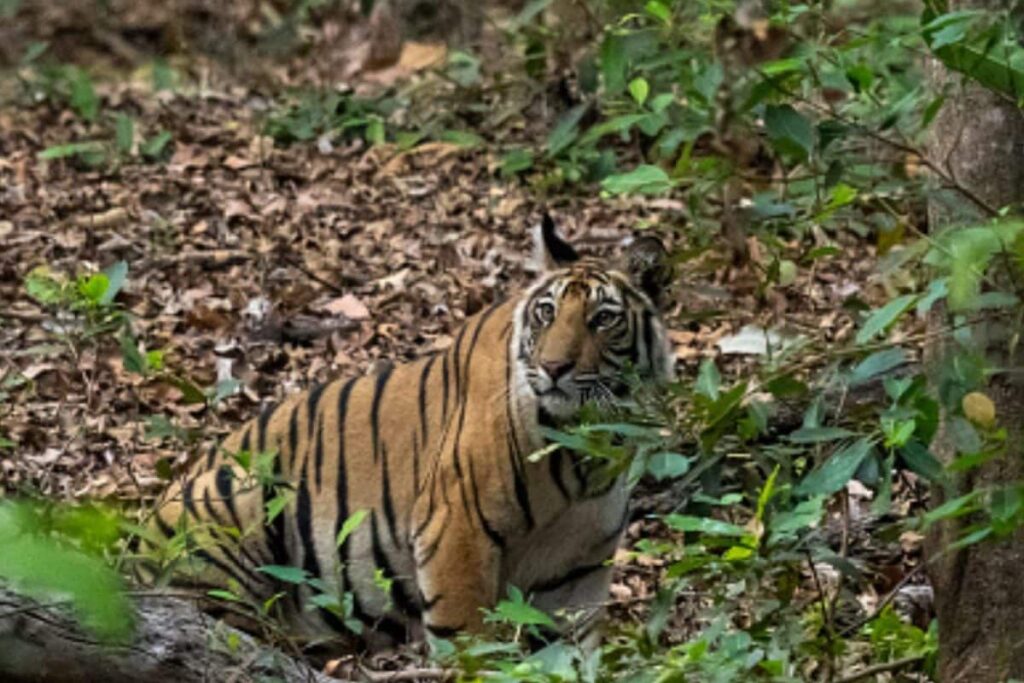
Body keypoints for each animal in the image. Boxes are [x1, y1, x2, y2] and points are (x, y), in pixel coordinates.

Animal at [146, 215, 675, 652]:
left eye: (602, 319)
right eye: (547, 312)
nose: (554, 367)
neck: (588, 447)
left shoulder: (575, 572)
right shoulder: (455, 529)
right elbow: (472, 646)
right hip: (234, 499)